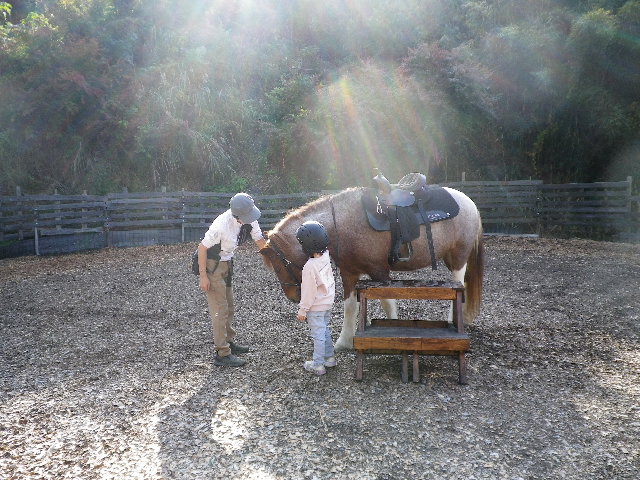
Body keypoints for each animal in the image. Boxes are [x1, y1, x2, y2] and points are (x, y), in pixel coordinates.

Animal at [259, 186, 484, 351]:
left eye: (279, 266)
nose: (293, 297)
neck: (343, 225)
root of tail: (470, 203)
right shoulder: (349, 273)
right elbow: (350, 306)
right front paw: (344, 342)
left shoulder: (379, 272)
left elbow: (387, 303)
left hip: (459, 259)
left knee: (459, 287)